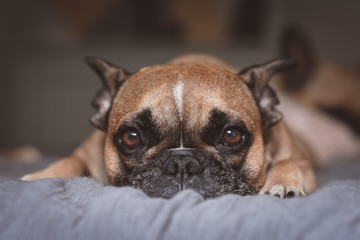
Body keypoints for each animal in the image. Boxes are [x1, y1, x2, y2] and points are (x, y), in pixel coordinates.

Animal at [21, 54, 316, 199]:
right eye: (131, 137)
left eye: (232, 136)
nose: (181, 163)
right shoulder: (86, 153)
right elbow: (70, 160)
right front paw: (41, 177)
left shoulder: (304, 163)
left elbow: (287, 162)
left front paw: (281, 183)